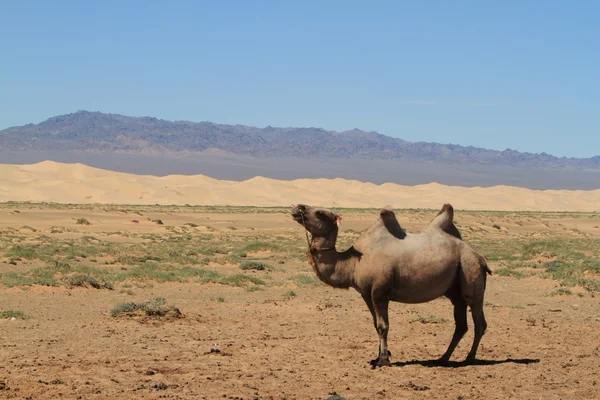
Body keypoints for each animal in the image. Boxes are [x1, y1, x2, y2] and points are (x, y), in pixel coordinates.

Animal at [290, 203, 492, 368]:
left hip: (470, 274)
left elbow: (383, 326)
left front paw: (383, 360)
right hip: (456, 292)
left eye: (320, 213)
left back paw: (469, 358)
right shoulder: (366, 294)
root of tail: (480, 257)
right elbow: (375, 324)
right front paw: (378, 356)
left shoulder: (380, 291)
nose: (298, 208)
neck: (353, 262)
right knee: (461, 325)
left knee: (479, 321)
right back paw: (443, 358)